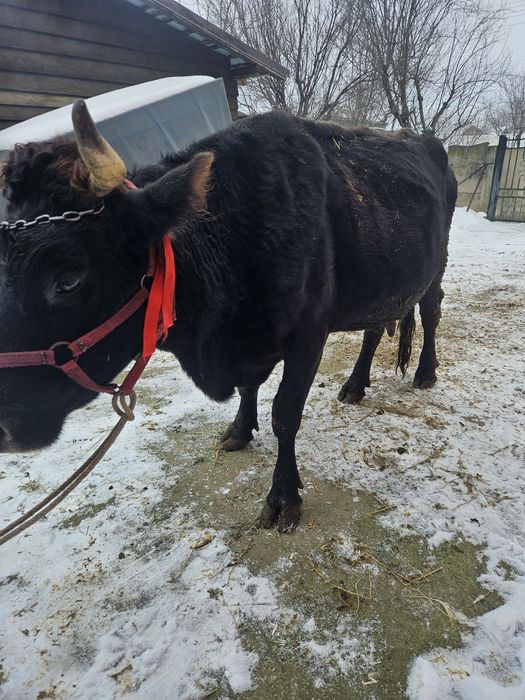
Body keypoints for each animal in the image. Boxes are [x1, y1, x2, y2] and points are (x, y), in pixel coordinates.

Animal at [0, 102, 457, 531]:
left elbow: (285, 416)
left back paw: (424, 373)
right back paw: (355, 385)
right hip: (383, 282)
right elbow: (247, 388)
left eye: (68, 280)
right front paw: (239, 429)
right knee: (375, 328)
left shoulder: (309, 335)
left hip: (436, 266)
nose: (3, 429)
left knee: (431, 311)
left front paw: (283, 496)